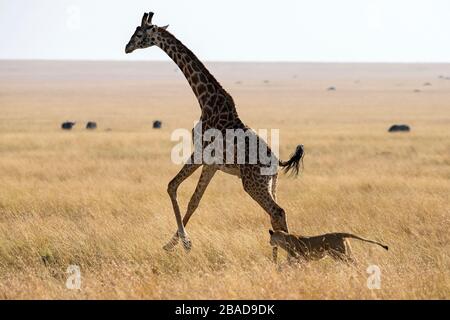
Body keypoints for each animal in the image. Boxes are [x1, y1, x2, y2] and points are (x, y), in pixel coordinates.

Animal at [125, 12, 304, 262]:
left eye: (139, 33)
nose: (126, 47)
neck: (206, 100)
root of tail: (278, 162)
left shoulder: (200, 152)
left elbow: (172, 186)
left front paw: (184, 242)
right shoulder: (212, 164)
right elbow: (194, 201)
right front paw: (174, 244)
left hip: (253, 183)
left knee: (278, 211)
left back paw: (287, 261)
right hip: (271, 183)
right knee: (276, 215)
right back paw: (281, 260)